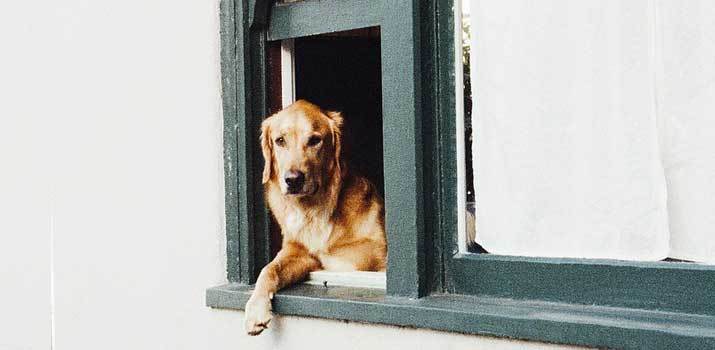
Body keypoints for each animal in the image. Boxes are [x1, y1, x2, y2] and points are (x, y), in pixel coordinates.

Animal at [248, 100, 392, 334]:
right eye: (280, 141)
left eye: (315, 140)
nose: (293, 179)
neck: (313, 210)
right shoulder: (296, 252)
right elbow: (269, 269)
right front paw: (255, 309)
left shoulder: (376, 251)